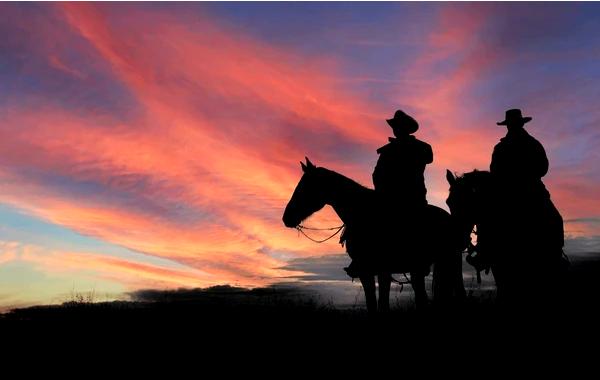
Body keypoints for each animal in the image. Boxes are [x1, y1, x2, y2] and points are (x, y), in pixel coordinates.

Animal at [284, 157, 466, 312]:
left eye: (305, 187)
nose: (286, 217)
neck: (366, 215)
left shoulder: (382, 270)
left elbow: (382, 305)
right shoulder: (367, 271)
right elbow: (372, 304)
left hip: (451, 261)